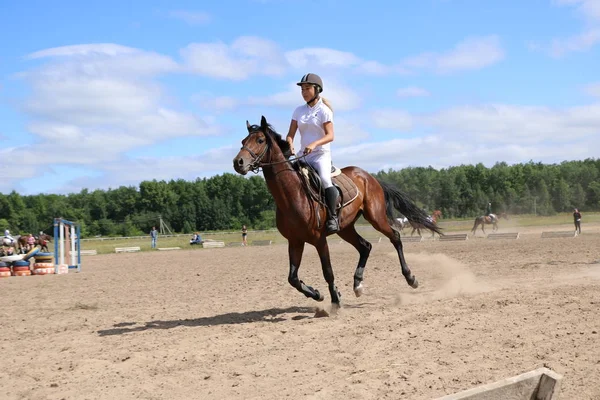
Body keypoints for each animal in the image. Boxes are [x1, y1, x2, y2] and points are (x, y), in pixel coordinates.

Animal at [231, 115, 440, 310]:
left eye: (260, 140)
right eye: (243, 141)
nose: (238, 162)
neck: (292, 195)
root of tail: (369, 176)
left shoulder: (319, 239)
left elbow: (328, 271)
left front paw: (335, 300)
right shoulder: (295, 241)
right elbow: (293, 278)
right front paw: (318, 294)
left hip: (376, 218)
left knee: (395, 237)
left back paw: (410, 278)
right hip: (345, 228)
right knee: (365, 246)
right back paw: (357, 284)